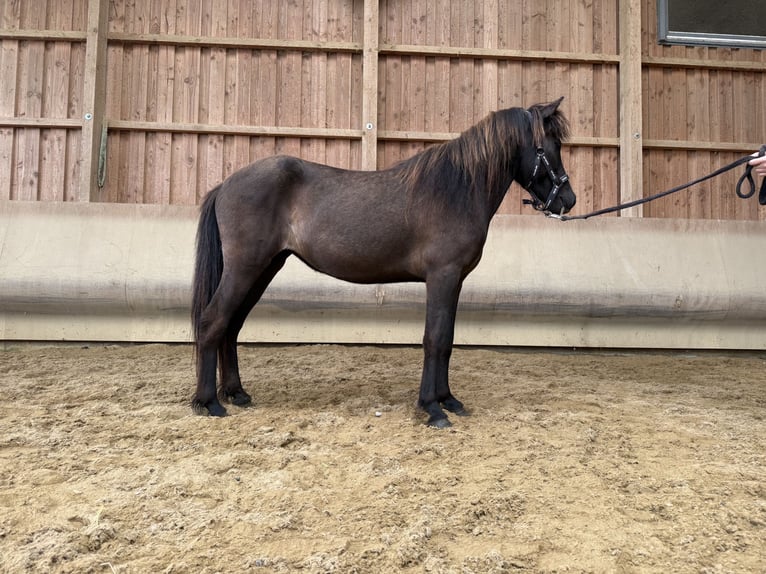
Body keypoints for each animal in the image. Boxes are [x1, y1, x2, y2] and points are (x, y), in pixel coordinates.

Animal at [191, 97, 576, 428]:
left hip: (264, 268)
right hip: (246, 268)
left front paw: (449, 399)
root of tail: (225, 185)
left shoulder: (455, 281)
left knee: (231, 326)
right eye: (548, 147)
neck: (456, 190)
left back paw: (237, 393)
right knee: (213, 321)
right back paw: (209, 402)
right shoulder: (442, 276)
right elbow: (435, 338)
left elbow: (448, 339)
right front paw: (432, 408)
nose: (568, 200)